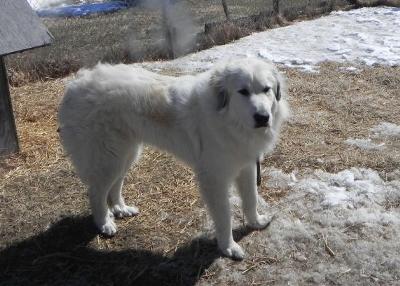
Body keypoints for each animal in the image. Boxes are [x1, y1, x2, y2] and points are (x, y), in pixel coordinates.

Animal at [57, 57, 290, 260]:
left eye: (266, 89)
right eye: (243, 92)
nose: (263, 117)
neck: (228, 119)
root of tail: (76, 83)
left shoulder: (246, 165)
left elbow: (251, 199)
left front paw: (256, 222)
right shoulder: (214, 179)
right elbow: (224, 217)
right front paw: (228, 248)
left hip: (126, 154)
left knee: (114, 186)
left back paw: (121, 209)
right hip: (108, 158)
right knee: (96, 192)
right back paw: (104, 223)